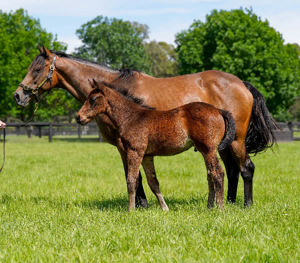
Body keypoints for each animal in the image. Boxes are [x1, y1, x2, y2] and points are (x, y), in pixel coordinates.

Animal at [76, 81, 236, 212]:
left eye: (92, 99)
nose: (78, 117)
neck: (131, 118)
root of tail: (218, 110)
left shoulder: (135, 151)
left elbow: (132, 180)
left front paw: (130, 210)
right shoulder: (147, 156)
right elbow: (153, 182)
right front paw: (165, 208)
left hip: (209, 149)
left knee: (217, 173)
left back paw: (220, 208)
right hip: (204, 150)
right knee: (210, 174)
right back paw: (209, 207)